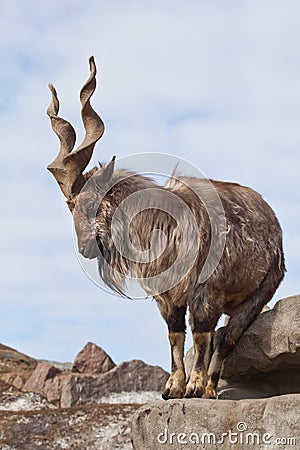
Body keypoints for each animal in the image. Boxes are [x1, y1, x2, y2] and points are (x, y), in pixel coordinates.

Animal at [47, 57, 284, 400]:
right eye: (70, 206)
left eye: (92, 201)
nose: (84, 248)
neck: (164, 224)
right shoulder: (167, 297)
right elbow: (175, 336)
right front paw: (173, 387)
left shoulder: (206, 291)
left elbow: (201, 334)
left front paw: (194, 386)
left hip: (259, 292)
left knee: (226, 337)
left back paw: (210, 388)